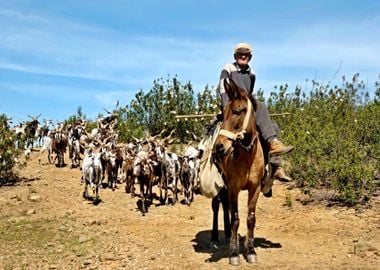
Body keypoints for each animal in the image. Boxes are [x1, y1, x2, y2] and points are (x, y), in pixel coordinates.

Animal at [212, 78, 266, 266]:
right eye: (223, 114)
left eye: (237, 111)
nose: (219, 147)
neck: (247, 156)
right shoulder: (234, 188)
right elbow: (235, 218)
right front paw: (234, 253)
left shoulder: (255, 188)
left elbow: (250, 218)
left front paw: (250, 251)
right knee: (217, 206)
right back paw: (215, 237)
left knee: (225, 206)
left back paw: (228, 233)